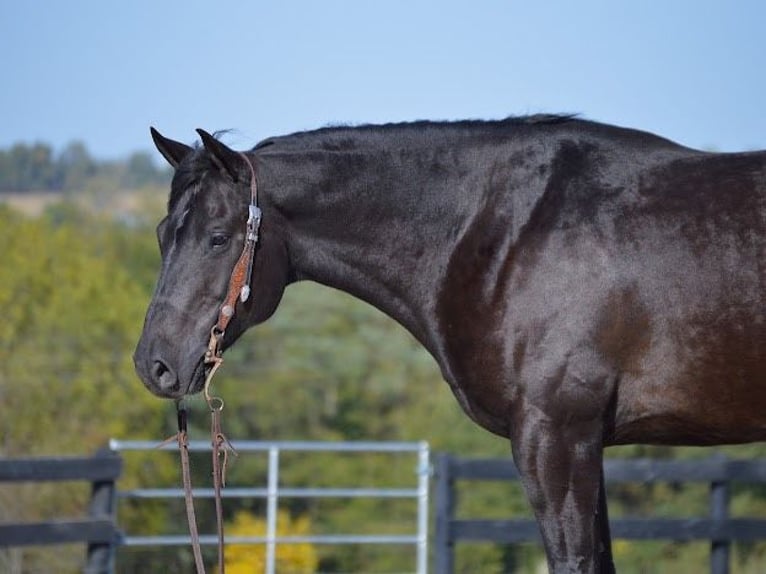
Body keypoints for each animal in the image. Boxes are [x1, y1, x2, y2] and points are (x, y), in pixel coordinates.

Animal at [135, 117, 764, 574]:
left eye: (218, 238)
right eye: (163, 235)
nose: (153, 365)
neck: (509, 233)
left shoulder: (557, 439)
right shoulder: (585, 445)